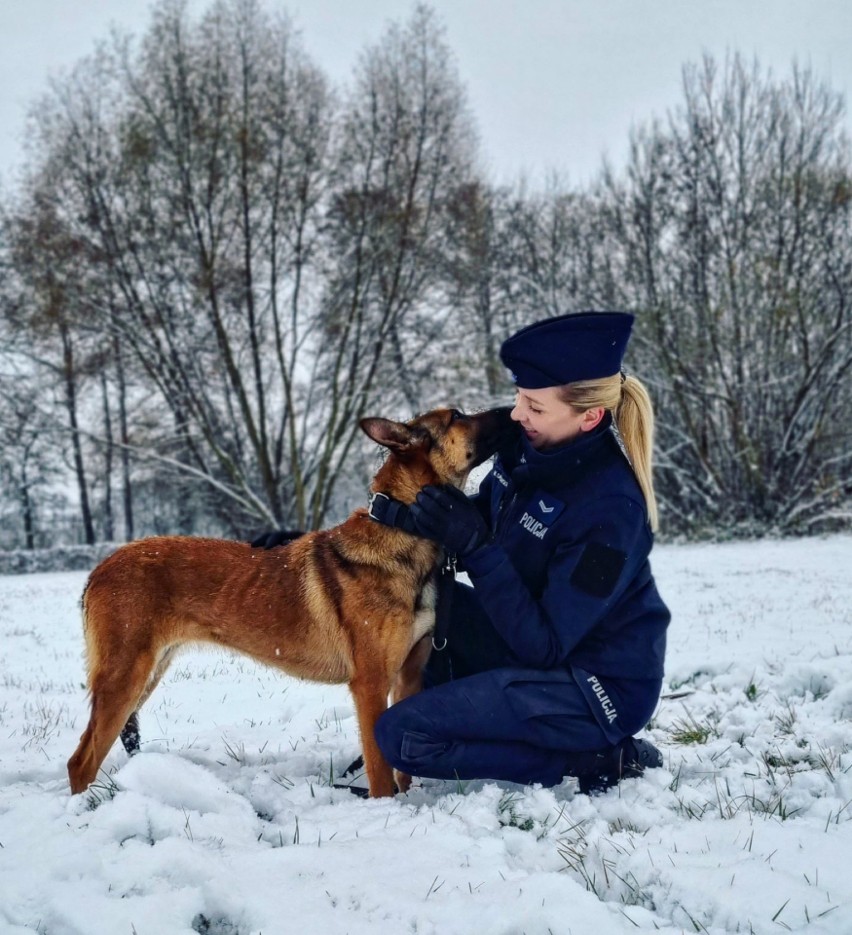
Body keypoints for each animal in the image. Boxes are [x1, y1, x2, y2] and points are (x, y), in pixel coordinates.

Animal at [66, 408, 512, 796]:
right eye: (457, 416)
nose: (508, 409)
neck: (404, 526)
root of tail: (100, 567)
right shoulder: (370, 685)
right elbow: (380, 771)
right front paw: (387, 811)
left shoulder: (409, 677)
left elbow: (400, 768)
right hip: (125, 679)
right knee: (80, 761)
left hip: (145, 675)